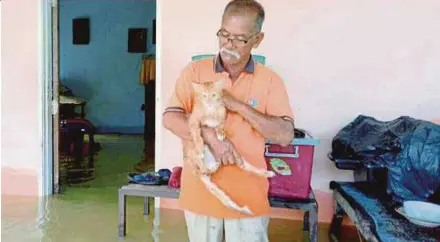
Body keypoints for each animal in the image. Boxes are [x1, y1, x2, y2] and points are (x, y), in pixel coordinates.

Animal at [185, 79, 276, 216]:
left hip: (237, 157)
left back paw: (268, 173)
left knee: (246, 167)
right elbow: (197, 135)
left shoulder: (222, 115)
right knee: (197, 167)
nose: (209, 102)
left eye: (213, 95)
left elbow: (220, 124)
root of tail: (211, 167)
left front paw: (220, 133)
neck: (211, 111)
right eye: (204, 96)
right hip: (192, 157)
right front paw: (200, 147)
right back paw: (202, 163)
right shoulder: (193, 120)